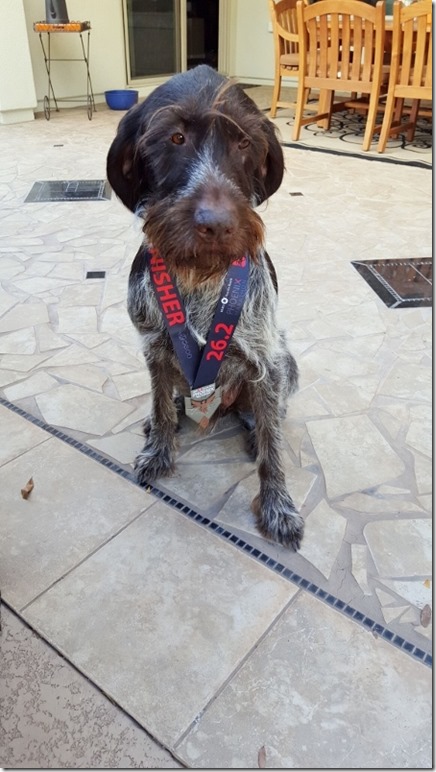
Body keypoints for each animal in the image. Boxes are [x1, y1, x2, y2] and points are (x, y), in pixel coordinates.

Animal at [106, 65, 304, 548]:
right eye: (175, 138)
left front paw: (278, 506)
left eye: (244, 142)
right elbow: (160, 405)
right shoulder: (155, 347)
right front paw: (159, 450)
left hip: (286, 362)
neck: (199, 276)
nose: (216, 225)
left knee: (268, 415)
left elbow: (273, 447)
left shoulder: (266, 359)